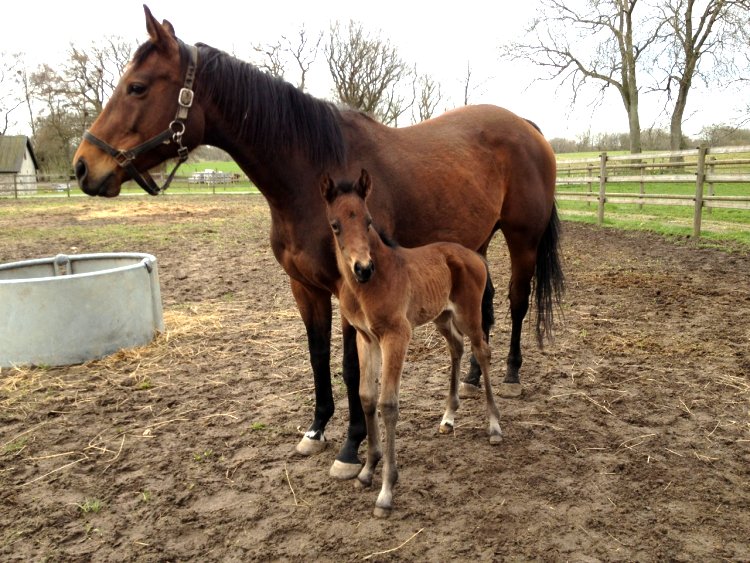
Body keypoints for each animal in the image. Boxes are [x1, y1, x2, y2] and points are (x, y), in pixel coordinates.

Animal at [73, 5, 564, 480]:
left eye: (136, 87)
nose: (83, 166)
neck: (310, 173)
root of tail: (525, 126)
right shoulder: (304, 288)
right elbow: (316, 357)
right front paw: (317, 429)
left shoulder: (350, 290)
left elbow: (351, 370)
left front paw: (352, 447)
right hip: (472, 247)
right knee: (483, 308)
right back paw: (471, 377)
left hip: (521, 240)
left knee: (517, 301)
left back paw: (511, 372)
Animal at [320, 170, 502, 516]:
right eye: (335, 225)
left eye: (368, 221)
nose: (363, 268)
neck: (371, 284)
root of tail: (474, 255)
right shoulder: (366, 338)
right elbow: (366, 396)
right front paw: (367, 471)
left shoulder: (396, 335)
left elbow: (388, 404)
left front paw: (386, 490)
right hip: (442, 316)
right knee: (456, 347)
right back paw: (448, 418)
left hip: (468, 315)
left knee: (482, 351)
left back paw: (495, 427)